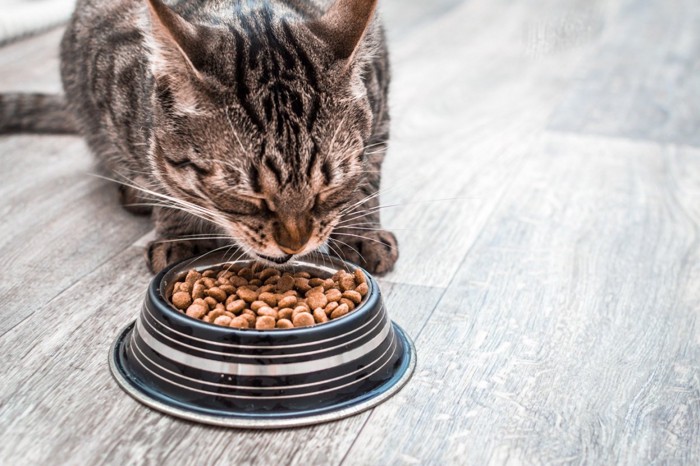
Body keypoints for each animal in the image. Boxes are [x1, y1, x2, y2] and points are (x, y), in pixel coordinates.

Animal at [0, 0, 400, 274]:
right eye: (246, 197)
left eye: (328, 188)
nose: (295, 245)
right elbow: (160, 180)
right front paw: (181, 234)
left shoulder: (379, 106)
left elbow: (367, 179)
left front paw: (361, 232)